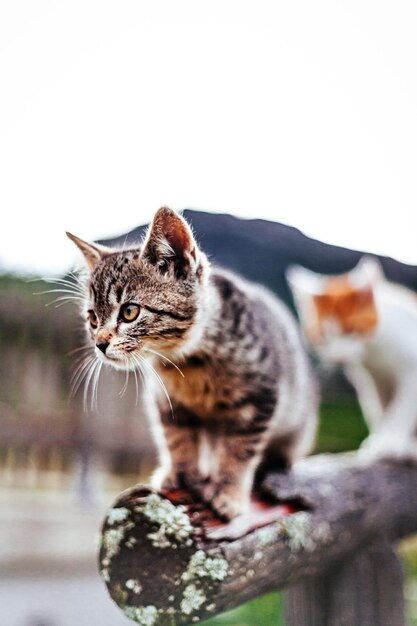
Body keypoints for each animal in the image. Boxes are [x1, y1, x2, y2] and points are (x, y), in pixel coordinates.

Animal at [66, 206, 316, 516]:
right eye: (92, 318)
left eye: (129, 312)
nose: (99, 344)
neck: (188, 363)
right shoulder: (168, 401)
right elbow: (176, 438)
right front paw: (179, 473)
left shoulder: (260, 399)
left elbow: (240, 448)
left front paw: (229, 491)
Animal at [288, 255, 416, 464]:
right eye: (323, 337)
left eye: (350, 330)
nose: (338, 356)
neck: (374, 353)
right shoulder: (372, 381)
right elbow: (378, 409)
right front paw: (379, 437)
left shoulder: (412, 368)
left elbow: (401, 408)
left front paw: (388, 442)